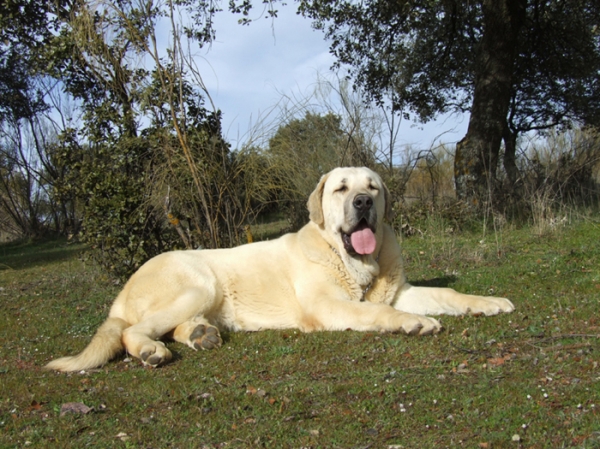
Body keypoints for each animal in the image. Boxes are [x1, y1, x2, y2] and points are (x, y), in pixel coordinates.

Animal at [45, 166, 516, 370]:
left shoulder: (400, 290)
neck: (354, 262)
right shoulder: (329, 305)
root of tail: (124, 287)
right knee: (132, 331)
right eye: (342, 189)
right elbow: (375, 311)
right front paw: (412, 323)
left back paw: (200, 335)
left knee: (173, 326)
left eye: (373, 187)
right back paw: (151, 350)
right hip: (199, 284)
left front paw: (488, 301)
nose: (363, 202)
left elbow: (445, 294)